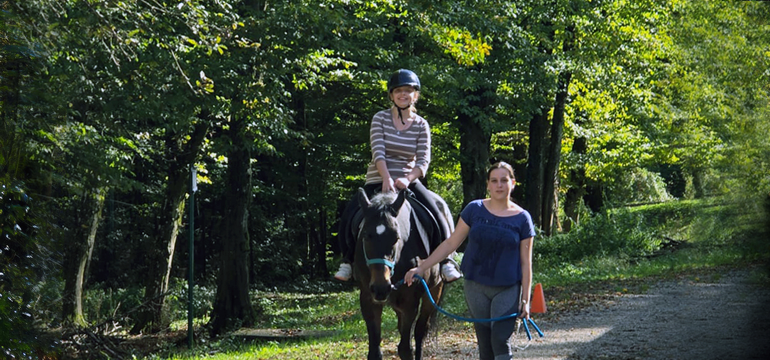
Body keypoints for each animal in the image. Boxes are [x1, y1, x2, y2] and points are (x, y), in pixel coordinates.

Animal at [352, 188, 450, 360]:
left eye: (396, 237)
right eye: (366, 236)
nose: (381, 288)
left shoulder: (410, 303)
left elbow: (405, 349)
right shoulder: (368, 301)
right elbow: (375, 352)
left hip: (433, 292)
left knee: (420, 332)